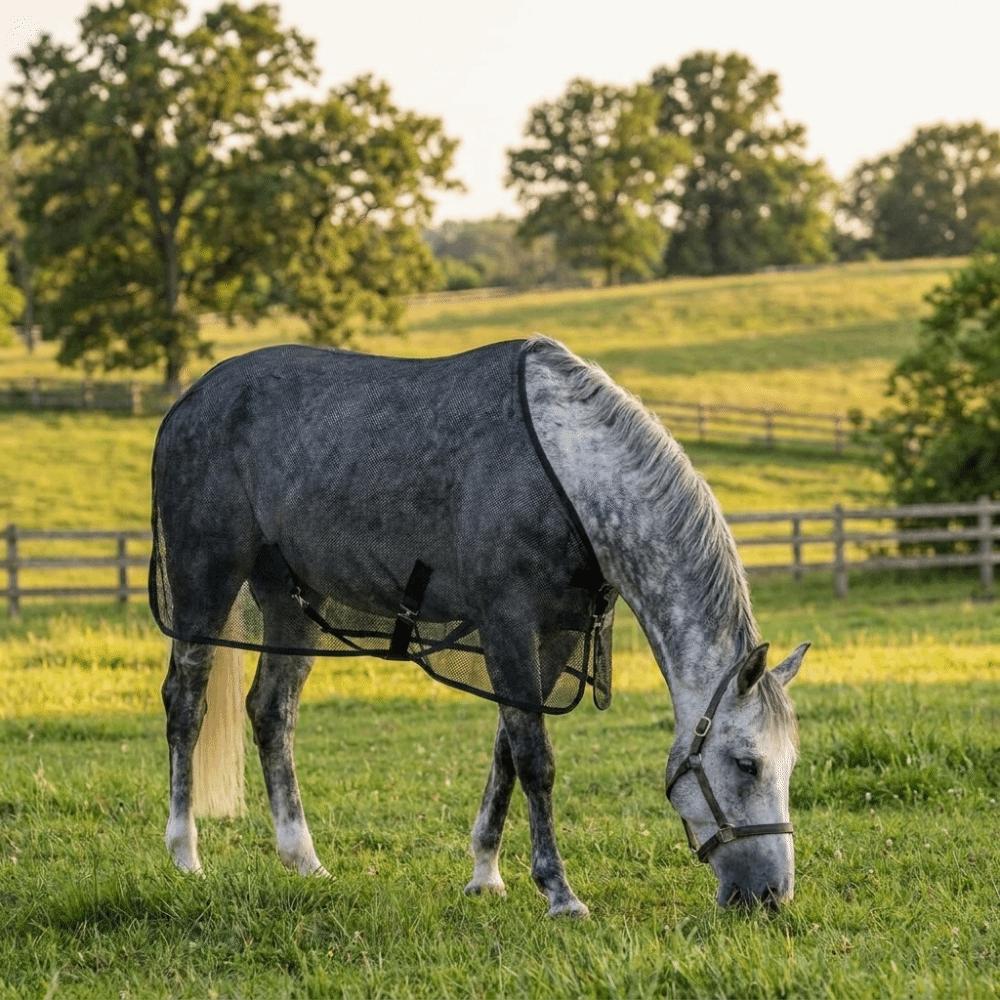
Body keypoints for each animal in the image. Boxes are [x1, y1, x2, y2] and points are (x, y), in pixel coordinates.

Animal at [150, 336, 808, 916]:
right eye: (747, 763)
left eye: (791, 764)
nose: (771, 895)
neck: (567, 476)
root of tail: (189, 401)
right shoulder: (507, 625)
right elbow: (536, 760)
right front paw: (559, 892)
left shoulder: (553, 635)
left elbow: (508, 753)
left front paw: (485, 875)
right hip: (205, 583)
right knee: (187, 704)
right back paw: (184, 855)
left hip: (292, 601)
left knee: (271, 711)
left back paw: (303, 859)